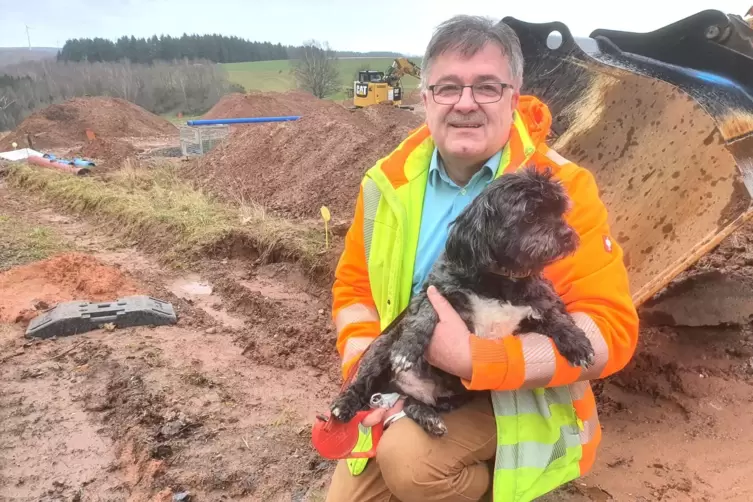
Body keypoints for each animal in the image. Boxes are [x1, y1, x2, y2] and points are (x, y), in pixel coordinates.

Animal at [328, 165, 592, 436]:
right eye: (529, 216)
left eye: (560, 211)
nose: (567, 234)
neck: (499, 280)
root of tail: (403, 389)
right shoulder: (434, 291)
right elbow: (425, 315)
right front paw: (407, 349)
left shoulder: (532, 308)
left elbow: (555, 315)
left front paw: (576, 342)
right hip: (381, 348)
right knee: (362, 383)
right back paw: (344, 405)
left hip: (459, 394)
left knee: (413, 404)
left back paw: (428, 417)